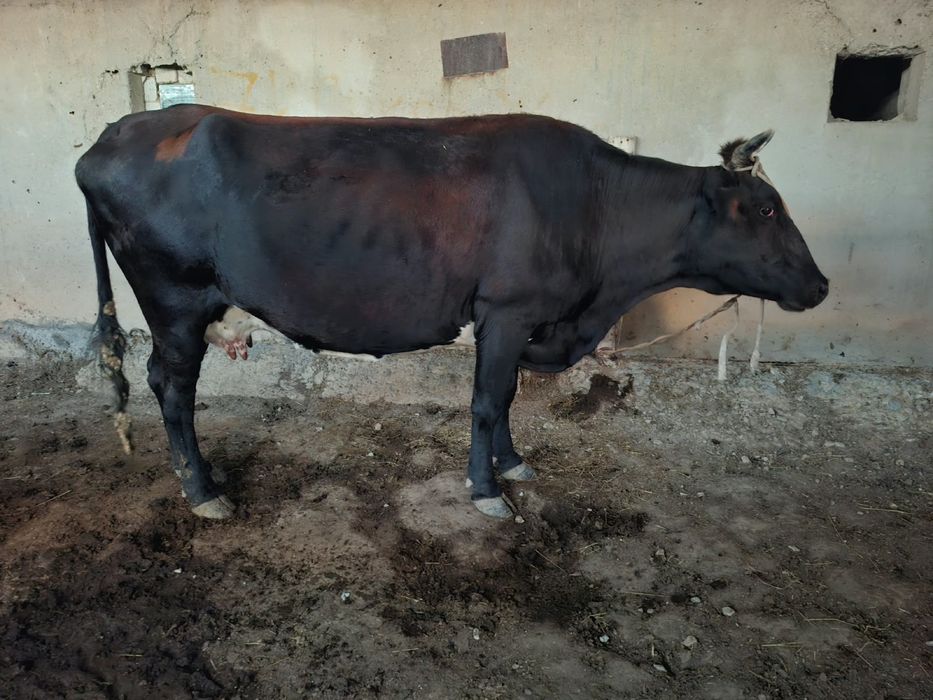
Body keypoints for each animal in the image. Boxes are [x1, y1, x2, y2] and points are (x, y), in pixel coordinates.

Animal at [75, 105, 828, 520]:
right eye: (765, 209)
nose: (821, 286)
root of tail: (115, 132)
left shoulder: (521, 320)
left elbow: (508, 398)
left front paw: (514, 465)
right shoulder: (506, 309)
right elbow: (488, 401)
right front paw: (486, 488)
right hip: (174, 297)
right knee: (172, 387)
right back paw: (202, 491)